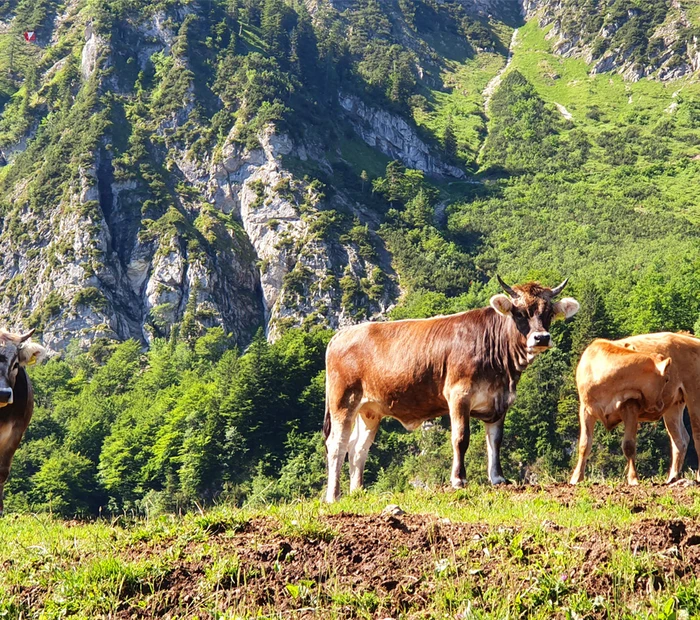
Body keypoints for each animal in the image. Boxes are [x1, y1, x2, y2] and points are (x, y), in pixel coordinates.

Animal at [322, 276, 580, 504]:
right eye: (520, 313)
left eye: (548, 313)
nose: (541, 338)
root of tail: (342, 334)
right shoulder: (458, 395)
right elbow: (460, 438)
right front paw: (458, 479)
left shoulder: (500, 401)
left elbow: (495, 441)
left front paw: (497, 478)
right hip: (343, 400)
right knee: (337, 445)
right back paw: (333, 496)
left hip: (369, 410)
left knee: (358, 449)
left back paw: (357, 493)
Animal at [572, 336, 676, 486]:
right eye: (666, 379)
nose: (660, 404)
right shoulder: (586, 409)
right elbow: (584, 444)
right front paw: (576, 477)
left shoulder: (630, 409)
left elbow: (628, 445)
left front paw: (633, 478)